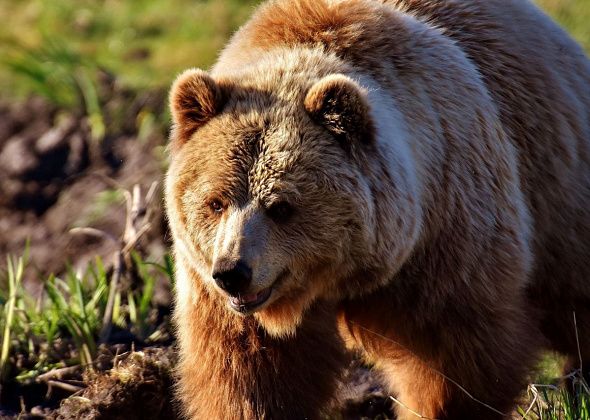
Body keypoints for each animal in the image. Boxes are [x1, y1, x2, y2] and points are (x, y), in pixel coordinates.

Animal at [163, 1, 590, 418]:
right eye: (216, 202)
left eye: (281, 206)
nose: (233, 273)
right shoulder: (215, 291)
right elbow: (250, 374)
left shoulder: (445, 233)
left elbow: (453, 360)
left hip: (556, 191)